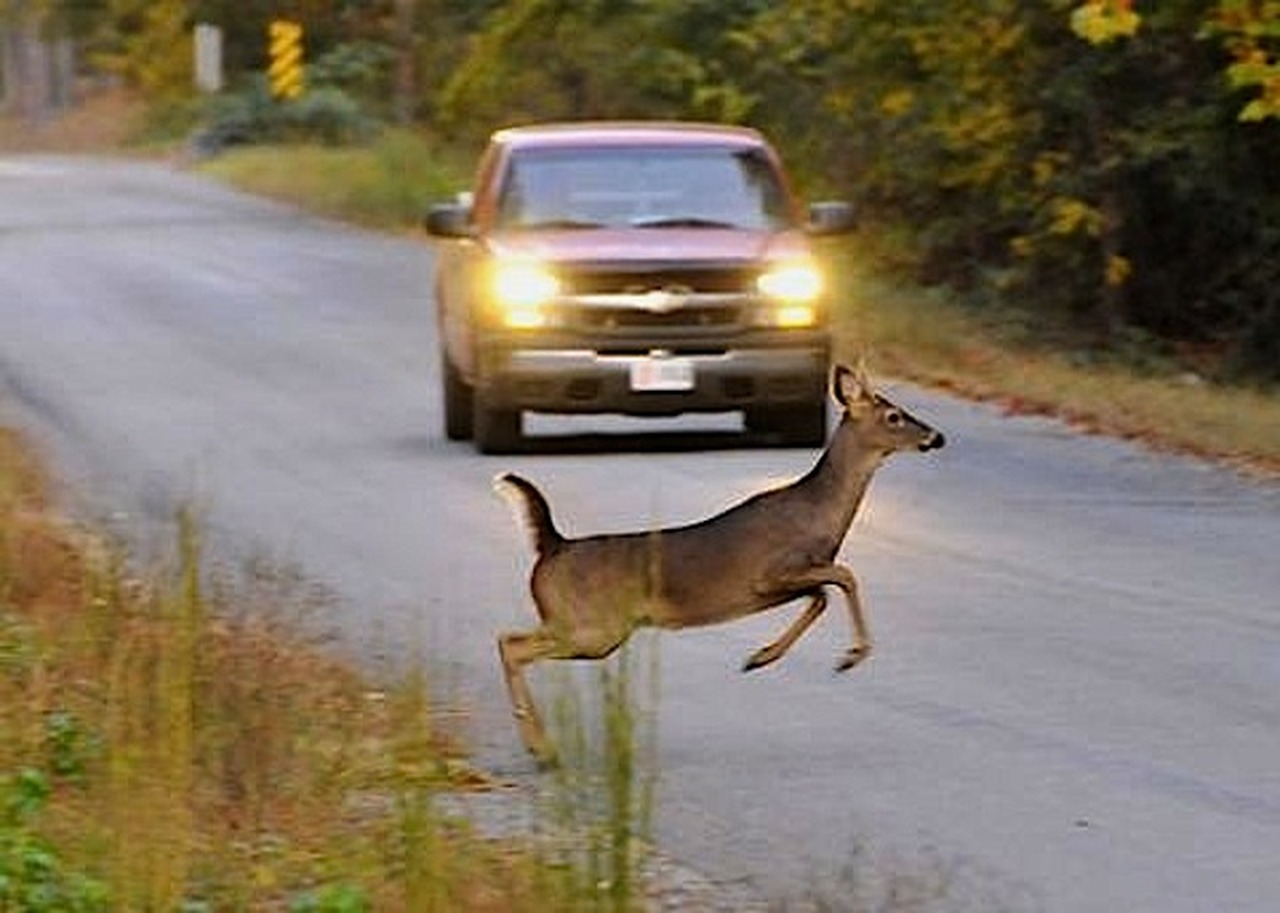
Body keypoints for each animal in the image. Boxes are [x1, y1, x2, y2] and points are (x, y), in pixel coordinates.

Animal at [494, 363, 947, 763]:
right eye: (893, 415)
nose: (936, 436)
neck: (820, 515)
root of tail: (552, 547)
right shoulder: (771, 572)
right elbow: (845, 577)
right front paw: (851, 656)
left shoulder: (784, 582)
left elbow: (821, 595)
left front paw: (760, 656)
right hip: (592, 627)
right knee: (510, 644)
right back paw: (543, 749)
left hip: (588, 629)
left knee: (511, 641)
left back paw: (541, 746)